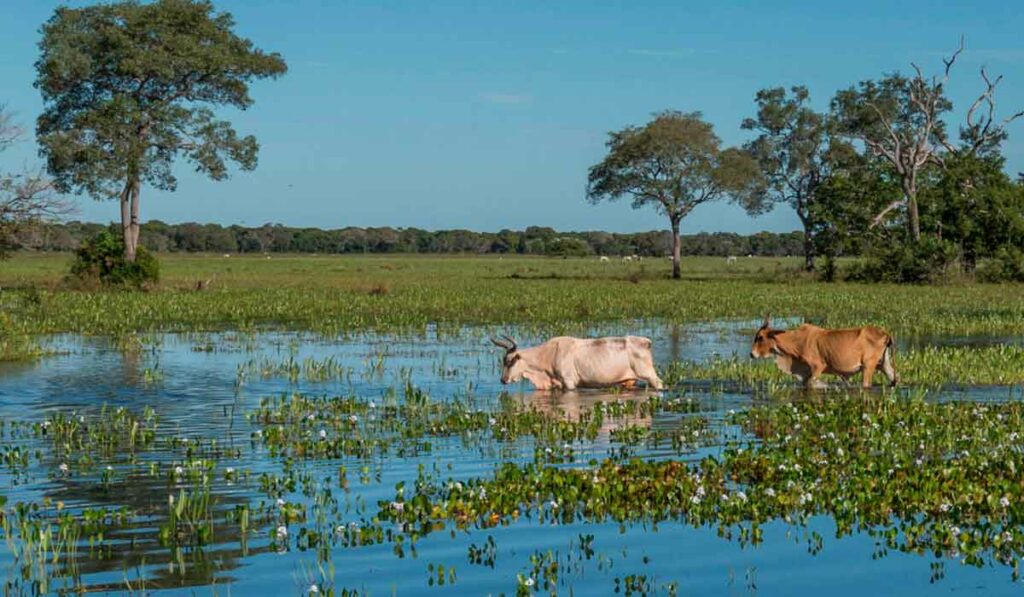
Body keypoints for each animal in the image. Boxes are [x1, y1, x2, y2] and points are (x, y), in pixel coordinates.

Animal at [749, 315, 901, 389]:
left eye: (760, 337)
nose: (752, 354)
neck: (797, 341)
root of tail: (884, 332)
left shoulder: (818, 367)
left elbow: (811, 383)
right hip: (883, 364)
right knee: (895, 378)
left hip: (868, 367)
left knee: (866, 384)